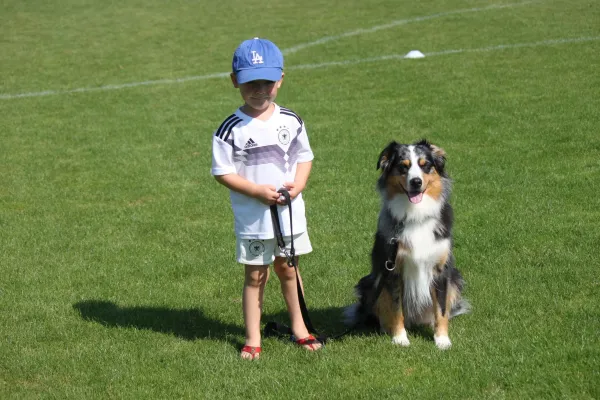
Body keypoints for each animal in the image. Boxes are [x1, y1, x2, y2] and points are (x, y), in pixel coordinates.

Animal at [346, 139, 468, 348]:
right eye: (403, 167)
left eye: (425, 165)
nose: (416, 182)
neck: (416, 215)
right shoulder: (393, 270)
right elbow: (396, 308)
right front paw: (400, 338)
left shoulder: (441, 270)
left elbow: (441, 309)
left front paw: (442, 340)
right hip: (369, 282)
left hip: (456, 278)